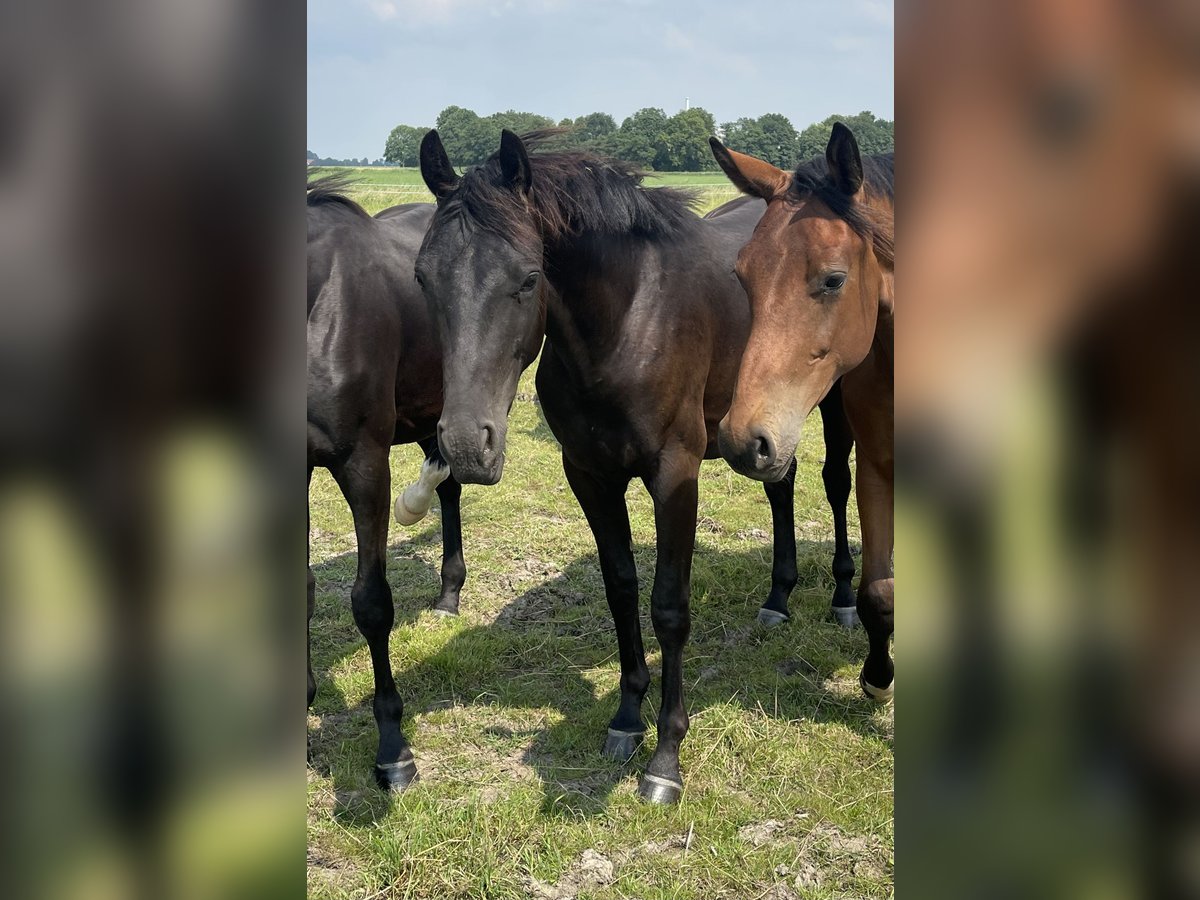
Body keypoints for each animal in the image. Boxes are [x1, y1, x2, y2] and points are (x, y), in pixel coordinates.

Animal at [417, 130, 859, 806]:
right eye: (422, 278)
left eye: (528, 279)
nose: (467, 444)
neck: (628, 323)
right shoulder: (589, 476)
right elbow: (621, 589)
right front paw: (627, 718)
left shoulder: (675, 474)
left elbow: (668, 606)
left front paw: (666, 758)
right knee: (780, 482)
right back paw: (778, 598)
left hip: (832, 399)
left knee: (836, 484)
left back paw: (842, 596)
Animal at [705, 127, 897, 705]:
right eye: (742, 275)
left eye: (833, 280)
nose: (740, 439)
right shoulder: (878, 466)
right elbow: (879, 592)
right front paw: (877, 678)